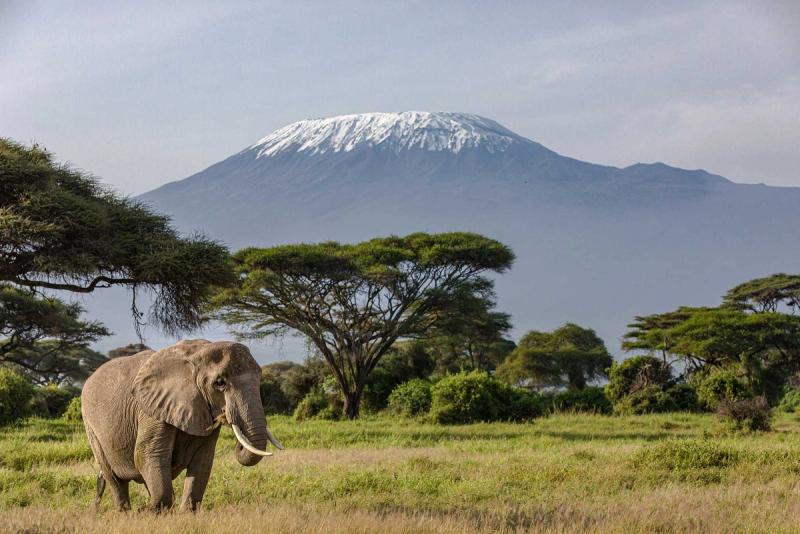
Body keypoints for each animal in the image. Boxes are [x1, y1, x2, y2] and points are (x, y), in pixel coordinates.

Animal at [81, 339, 283, 512]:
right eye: (220, 383)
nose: (228, 416)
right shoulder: (152, 409)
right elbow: (148, 455)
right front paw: (146, 512)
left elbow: (203, 459)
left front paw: (185, 513)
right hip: (90, 426)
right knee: (114, 477)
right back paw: (126, 512)